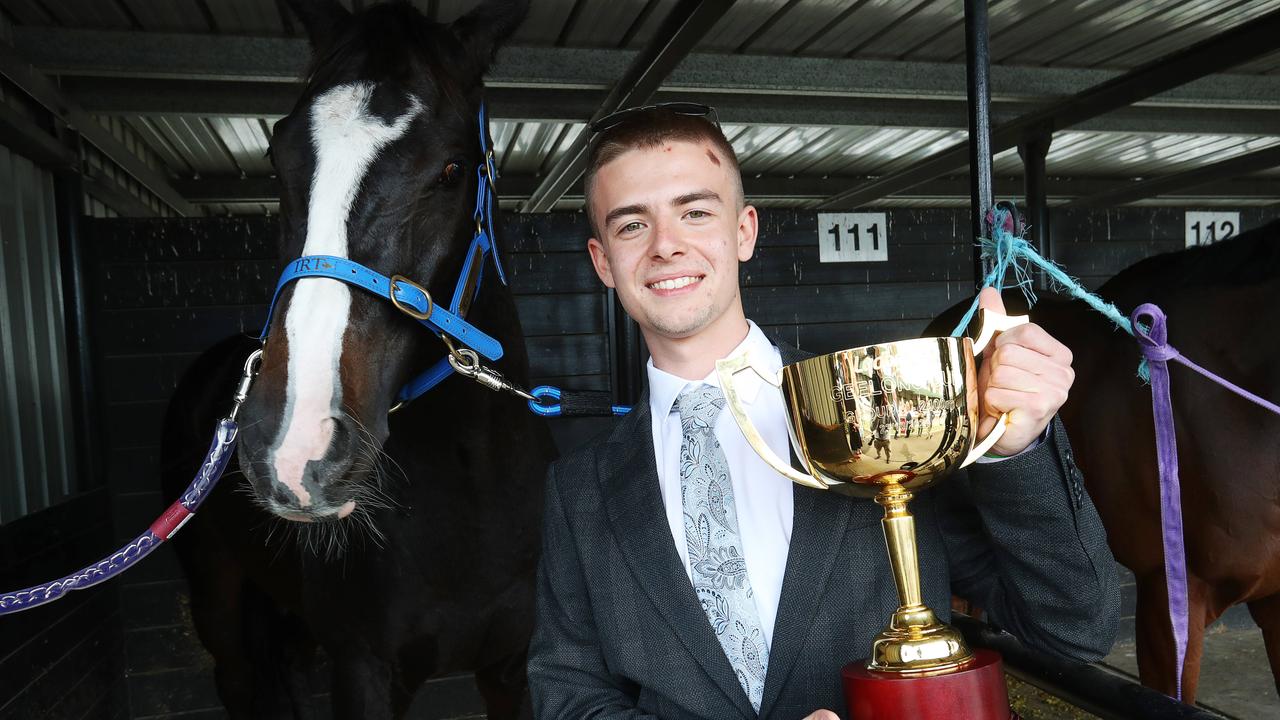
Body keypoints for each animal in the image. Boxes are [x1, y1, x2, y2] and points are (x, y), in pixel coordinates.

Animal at [157, 2, 552, 712]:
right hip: (215, 589)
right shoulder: (362, 666)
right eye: (278, 154)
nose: (295, 447)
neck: (471, 501)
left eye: (453, 169)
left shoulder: (513, 668)